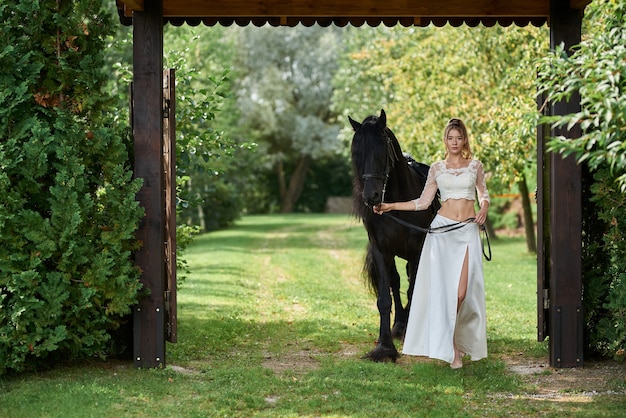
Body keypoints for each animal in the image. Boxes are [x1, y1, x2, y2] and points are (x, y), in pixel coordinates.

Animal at [346, 109, 438, 360]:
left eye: (381, 151)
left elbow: (414, 290)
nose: (371, 196)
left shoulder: (417, 250)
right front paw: (385, 347)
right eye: (357, 153)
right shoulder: (382, 250)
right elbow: (385, 298)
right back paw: (399, 324)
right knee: (396, 283)